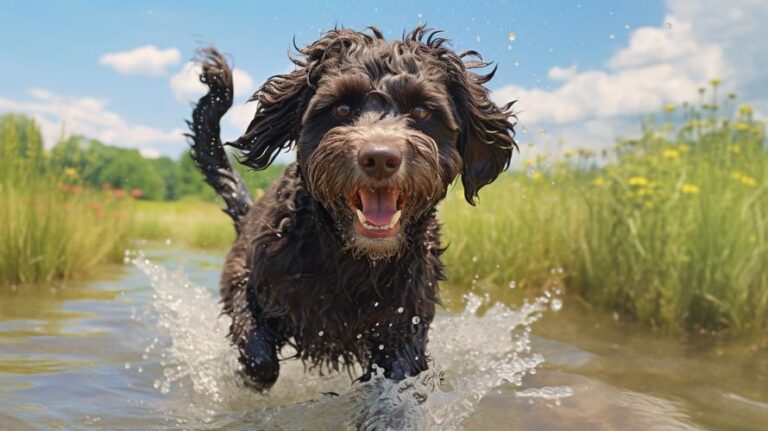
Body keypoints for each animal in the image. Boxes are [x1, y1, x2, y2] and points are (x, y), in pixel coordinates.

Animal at [188, 25, 516, 394]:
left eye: (421, 112)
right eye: (342, 108)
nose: (380, 157)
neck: (353, 259)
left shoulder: (405, 320)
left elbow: (400, 378)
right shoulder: (249, 278)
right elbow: (259, 356)